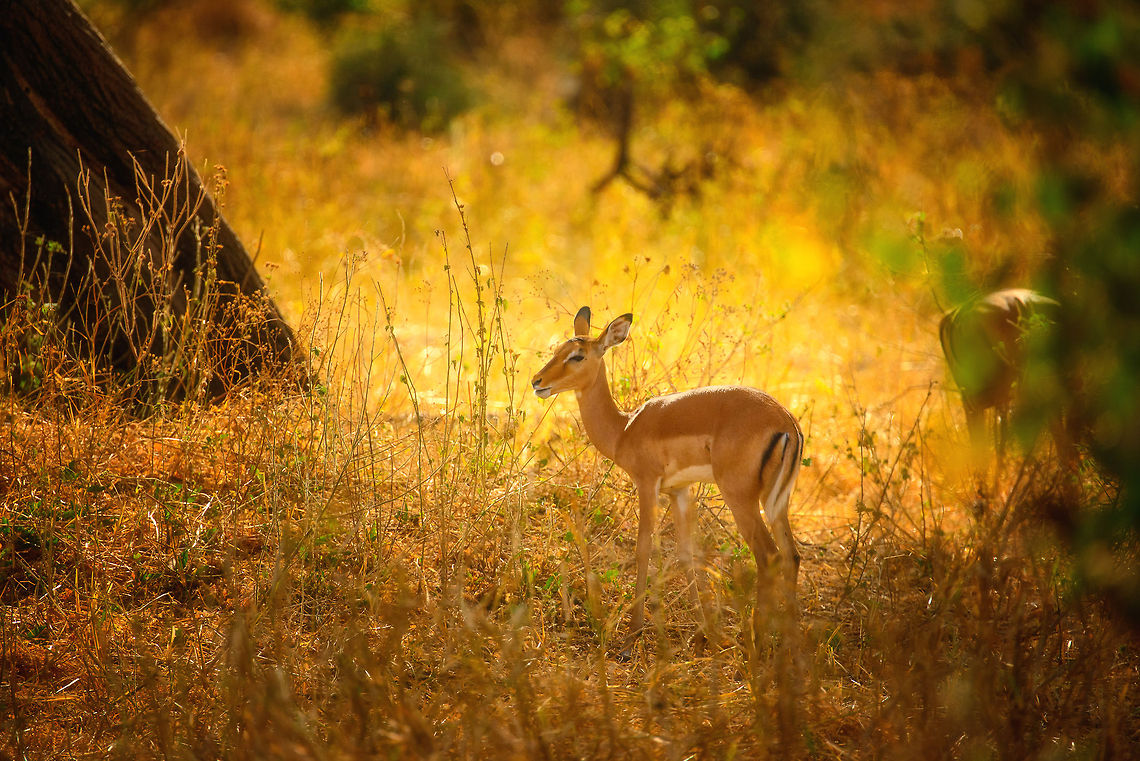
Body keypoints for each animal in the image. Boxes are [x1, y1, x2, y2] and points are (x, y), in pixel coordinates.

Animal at [531, 307, 804, 648]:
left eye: (577, 355)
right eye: (557, 350)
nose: (537, 382)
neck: (625, 429)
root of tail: (786, 421)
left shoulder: (647, 484)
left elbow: (643, 549)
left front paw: (632, 633)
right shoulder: (680, 491)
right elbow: (686, 555)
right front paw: (705, 632)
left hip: (741, 498)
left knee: (768, 557)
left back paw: (757, 642)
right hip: (776, 501)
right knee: (792, 556)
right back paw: (790, 645)